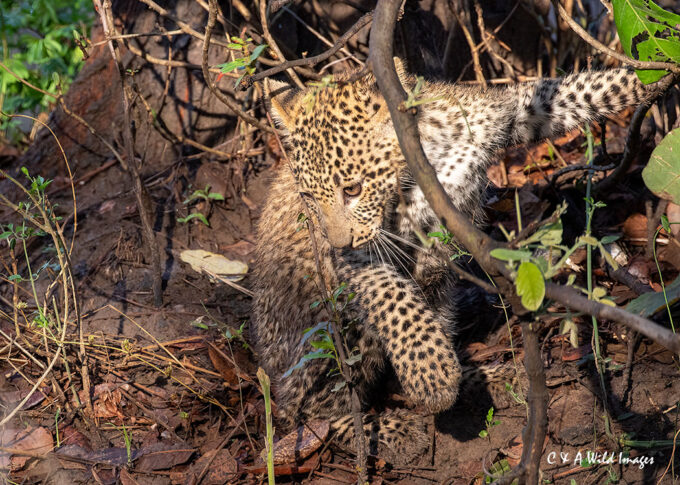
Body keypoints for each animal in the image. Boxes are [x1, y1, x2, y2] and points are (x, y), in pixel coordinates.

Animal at [250, 60, 666, 462]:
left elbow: (577, 91)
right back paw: (394, 428)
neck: (426, 158)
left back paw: (485, 373)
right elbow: (395, 301)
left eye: (352, 189)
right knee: (312, 414)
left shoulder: (512, 115)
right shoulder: (359, 256)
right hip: (325, 339)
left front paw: (650, 77)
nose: (334, 241)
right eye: (308, 197)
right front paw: (431, 377)